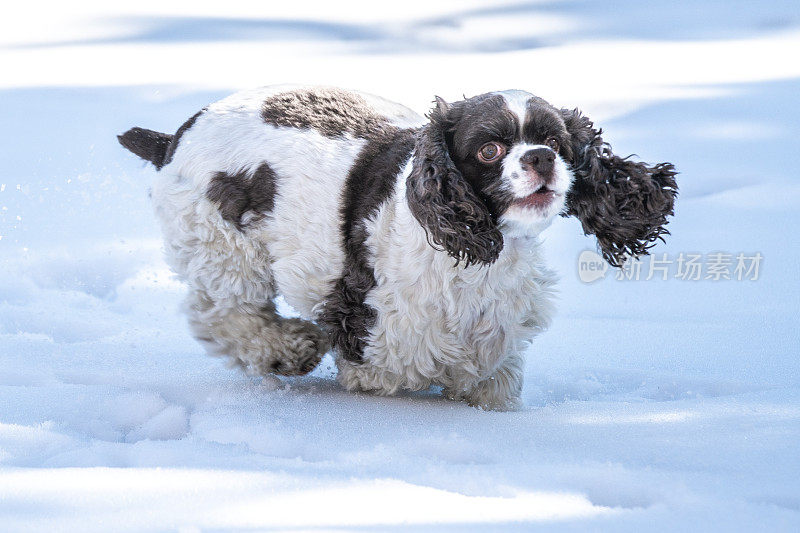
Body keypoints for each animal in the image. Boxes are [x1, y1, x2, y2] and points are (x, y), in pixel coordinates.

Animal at [119, 86, 676, 412]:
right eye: (489, 149)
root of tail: (176, 136)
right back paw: (289, 349)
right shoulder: (372, 335)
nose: (541, 157)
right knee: (223, 310)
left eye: (556, 142)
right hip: (220, 242)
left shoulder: (494, 355)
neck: (476, 255)